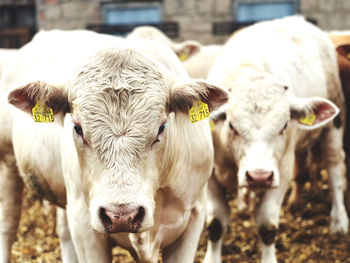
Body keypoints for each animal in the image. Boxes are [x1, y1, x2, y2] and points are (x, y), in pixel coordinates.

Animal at [0, 29, 230, 263]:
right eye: (77, 128)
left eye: (162, 127)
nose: (122, 216)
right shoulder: (83, 224)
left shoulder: (194, 216)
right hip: (8, 164)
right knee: (8, 225)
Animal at [204, 16, 348, 263]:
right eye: (231, 125)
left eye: (284, 126)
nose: (259, 176)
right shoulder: (211, 178)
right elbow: (215, 224)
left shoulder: (281, 171)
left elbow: (267, 226)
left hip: (333, 127)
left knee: (335, 171)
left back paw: (339, 221)